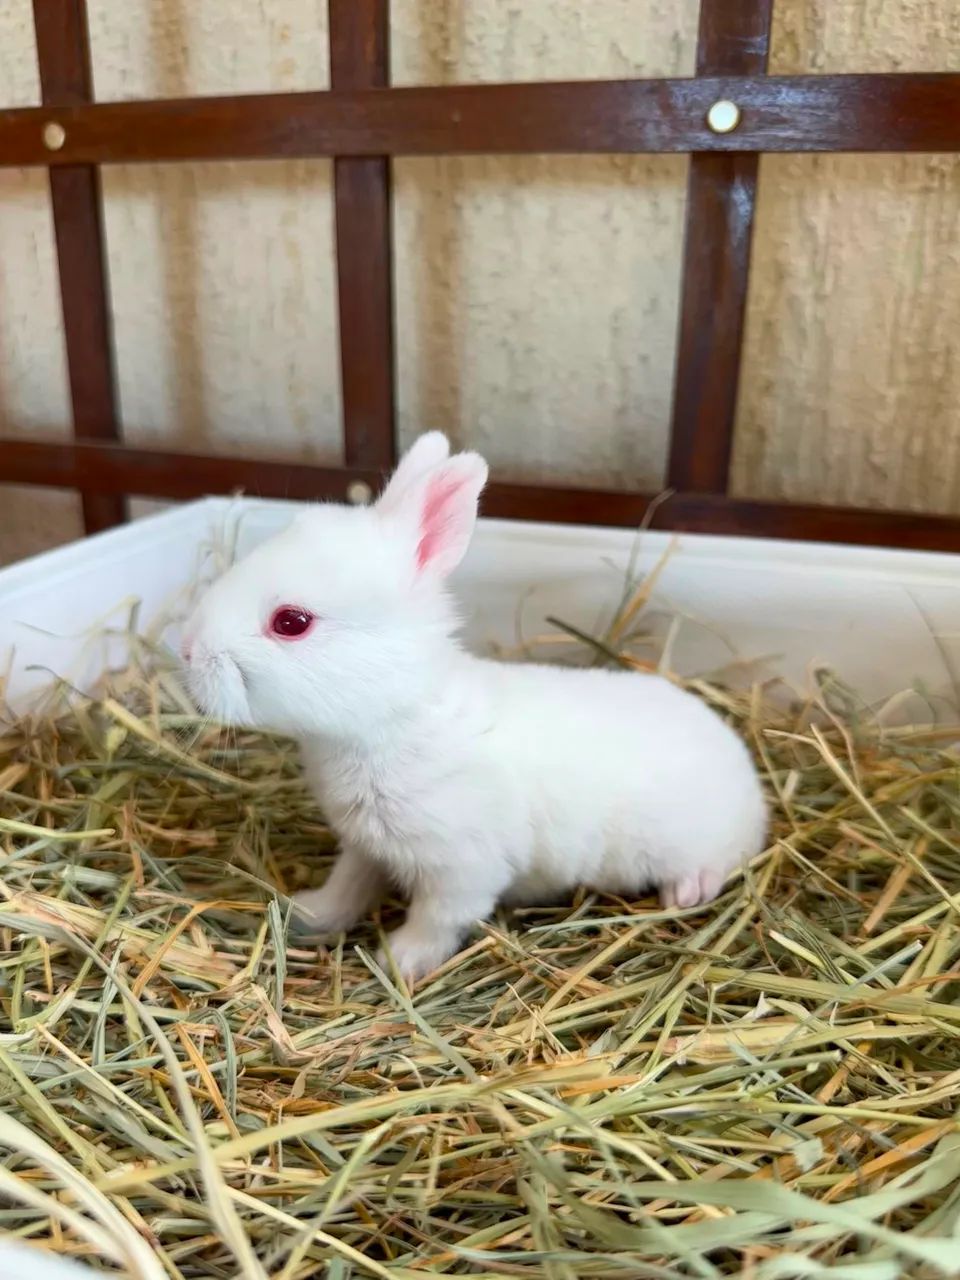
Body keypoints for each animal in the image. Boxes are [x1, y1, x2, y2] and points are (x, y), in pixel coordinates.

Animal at [183, 432, 767, 982]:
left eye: (291, 622)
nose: (186, 652)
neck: (393, 721)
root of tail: (750, 779)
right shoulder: (366, 849)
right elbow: (347, 886)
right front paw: (310, 914)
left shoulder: (461, 869)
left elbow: (438, 918)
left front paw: (400, 960)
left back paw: (687, 892)